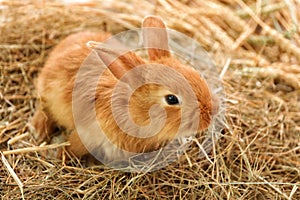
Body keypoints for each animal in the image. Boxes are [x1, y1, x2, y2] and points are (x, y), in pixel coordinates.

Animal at [31, 16, 218, 162]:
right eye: (171, 99)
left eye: (194, 73)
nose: (211, 113)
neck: (133, 110)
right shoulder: (87, 135)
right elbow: (73, 146)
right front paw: (61, 155)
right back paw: (38, 130)